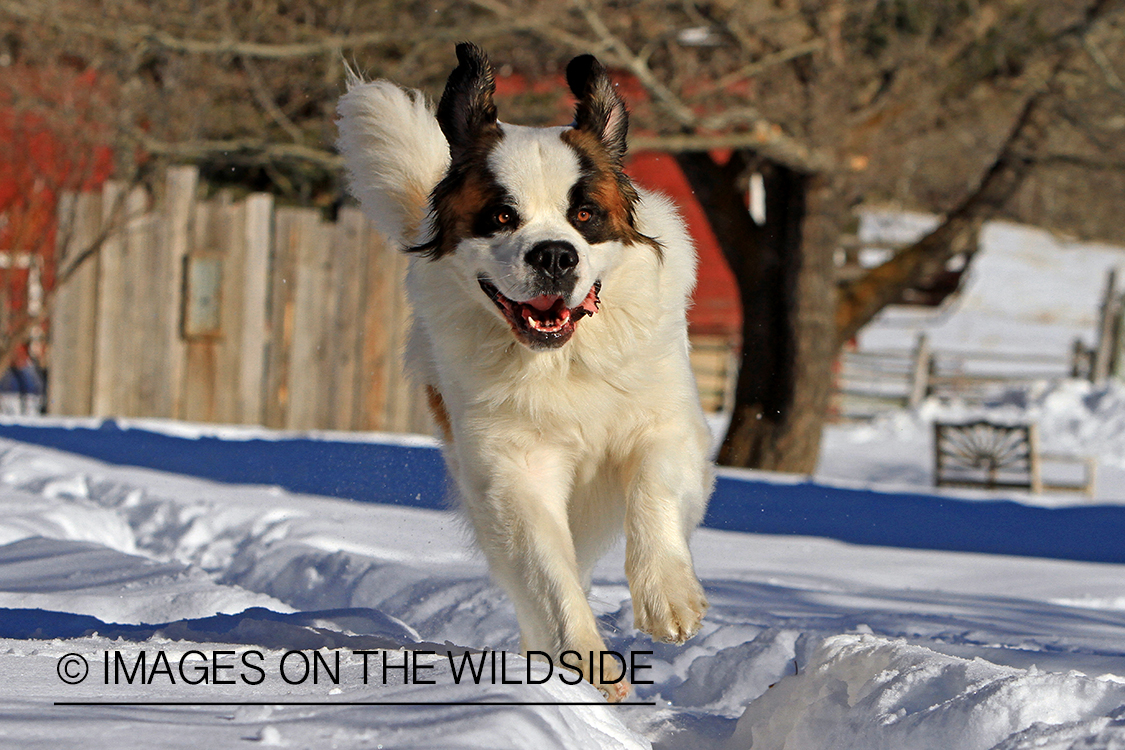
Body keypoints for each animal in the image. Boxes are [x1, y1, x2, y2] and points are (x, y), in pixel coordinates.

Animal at [337, 42, 715, 706]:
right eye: (501, 216)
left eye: (585, 214)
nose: (554, 255)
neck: (562, 360)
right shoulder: (513, 470)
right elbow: (547, 570)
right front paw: (587, 662)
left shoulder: (665, 425)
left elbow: (653, 490)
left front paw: (667, 599)